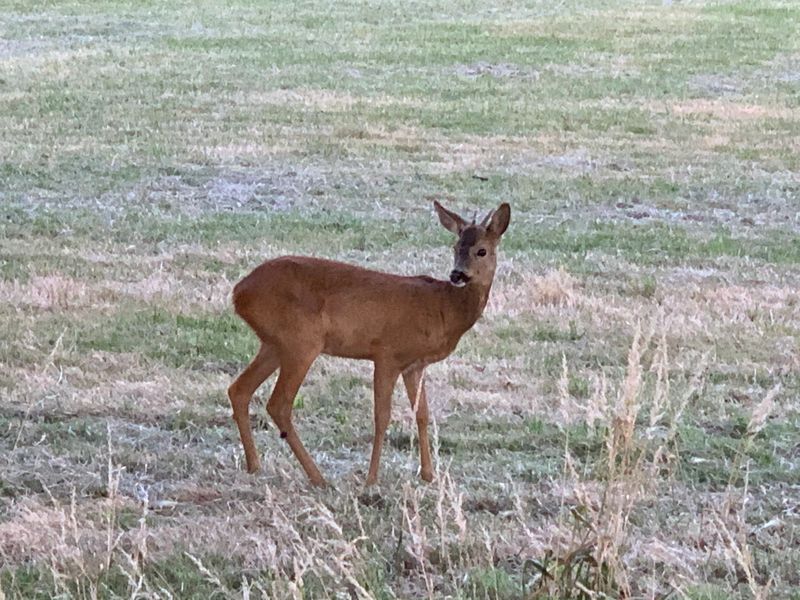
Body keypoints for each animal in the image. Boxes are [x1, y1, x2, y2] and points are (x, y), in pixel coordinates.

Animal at [227, 200, 511, 487]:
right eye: (455, 247)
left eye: (481, 250)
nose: (457, 274)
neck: (444, 307)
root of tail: (238, 293)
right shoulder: (387, 353)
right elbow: (382, 416)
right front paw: (371, 479)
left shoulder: (414, 365)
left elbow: (421, 414)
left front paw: (429, 475)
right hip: (302, 341)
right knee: (279, 404)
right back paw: (318, 477)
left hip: (275, 343)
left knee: (239, 389)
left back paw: (255, 465)